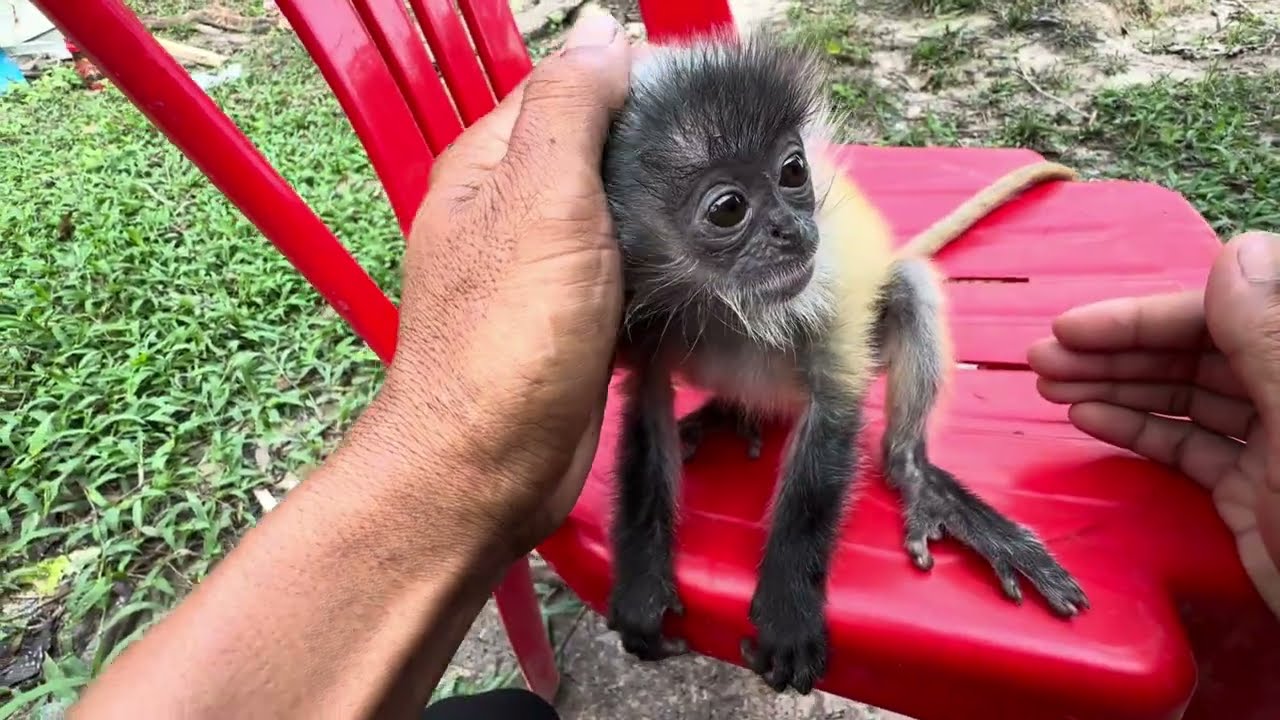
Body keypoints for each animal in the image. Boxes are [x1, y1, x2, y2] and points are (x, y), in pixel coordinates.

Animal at [600, 32, 1089, 695]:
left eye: (793, 171)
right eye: (728, 208)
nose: (791, 228)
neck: (730, 304)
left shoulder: (825, 293)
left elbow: (829, 428)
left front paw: (788, 611)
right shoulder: (644, 315)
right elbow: (646, 407)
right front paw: (644, 586)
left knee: (906, 291)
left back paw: (919, 478)